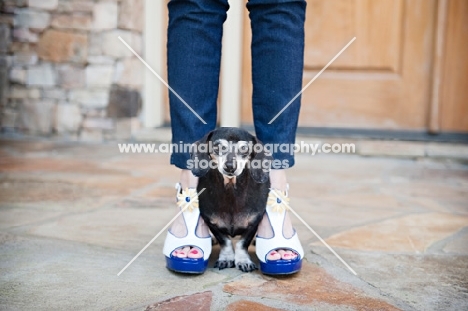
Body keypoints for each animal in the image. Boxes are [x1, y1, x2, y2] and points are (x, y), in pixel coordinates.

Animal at [189, 128, 270, 272]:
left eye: (244, 148)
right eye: (218, 147)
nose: (230, 166)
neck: (231, 193)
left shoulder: (254, 222)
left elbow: (242, 243)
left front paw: (243, 261)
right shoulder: (211, 221)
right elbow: (225, 241)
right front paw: (226, 258)